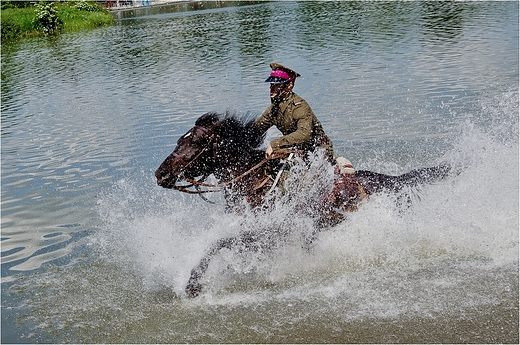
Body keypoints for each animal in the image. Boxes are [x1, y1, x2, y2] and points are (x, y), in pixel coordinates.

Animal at [154, 112, 450, 296]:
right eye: (180, 139)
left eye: (195, 141)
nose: (161, 173)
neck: (256, 182)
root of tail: (395, 181)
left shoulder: (268, 232)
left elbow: (218, 245)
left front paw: (193, 284)